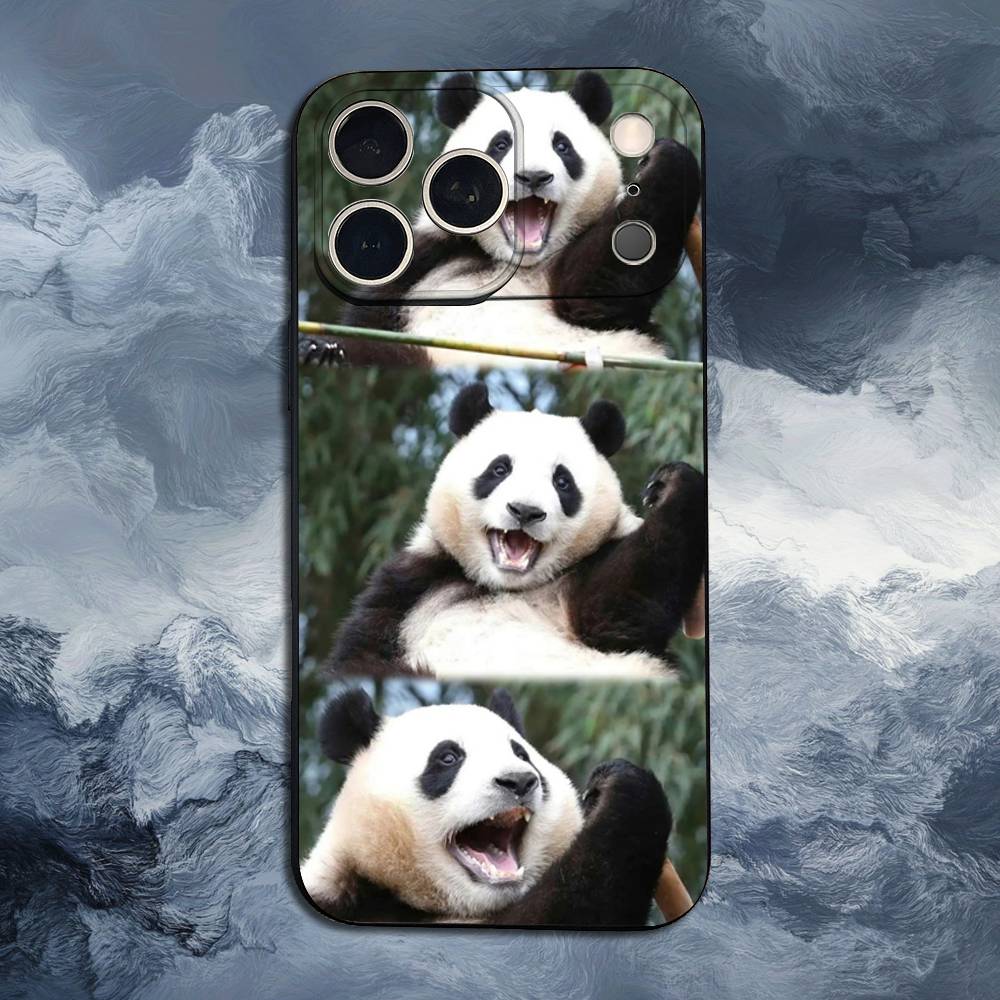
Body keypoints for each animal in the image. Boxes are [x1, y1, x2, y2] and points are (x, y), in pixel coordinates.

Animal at [299, 71, 701, 368]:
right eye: (501, 144)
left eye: (562, 146)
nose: (534, 176)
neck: (518, 264)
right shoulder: (429, 255)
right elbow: (366, 322)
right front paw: (321, 348)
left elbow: (599, 293)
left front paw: (663, 160)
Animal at [329, 382, 705, 680]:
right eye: (499, 469)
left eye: (562, 481)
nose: (525, 511)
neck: (508, 586)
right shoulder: (412, 587)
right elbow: (362, 656)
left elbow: (621, 608)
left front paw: (669, 484)